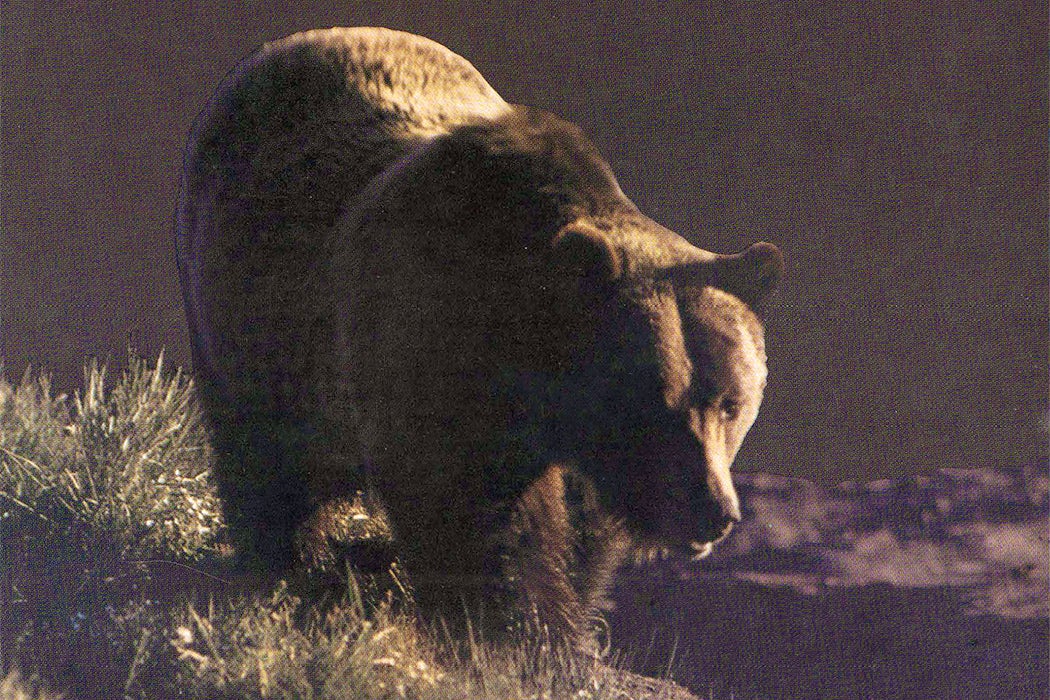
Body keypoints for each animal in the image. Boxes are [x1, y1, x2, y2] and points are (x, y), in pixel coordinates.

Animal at [175, 27, 784, 650]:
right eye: (652, 400)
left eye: (731, 402)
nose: (713, 509)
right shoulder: (436, 358)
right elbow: (479, 524)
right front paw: (512, 629)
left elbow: (577, 535)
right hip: (249, 318)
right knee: (267, 458)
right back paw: (289, 567)